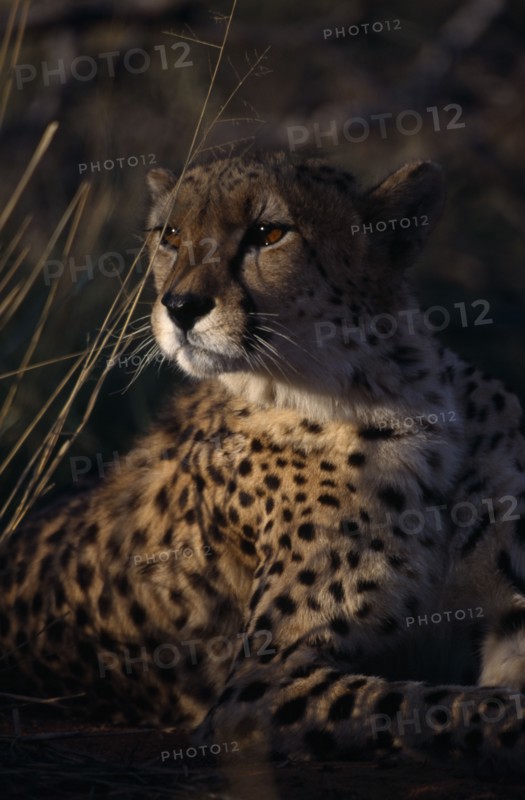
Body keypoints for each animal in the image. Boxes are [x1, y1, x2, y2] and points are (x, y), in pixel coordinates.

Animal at [2, 151, 525, 773]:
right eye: (169, 235)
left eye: (269, 234)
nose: (180, 307)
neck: (398, 399)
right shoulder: (262, 683)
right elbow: (443, 704)